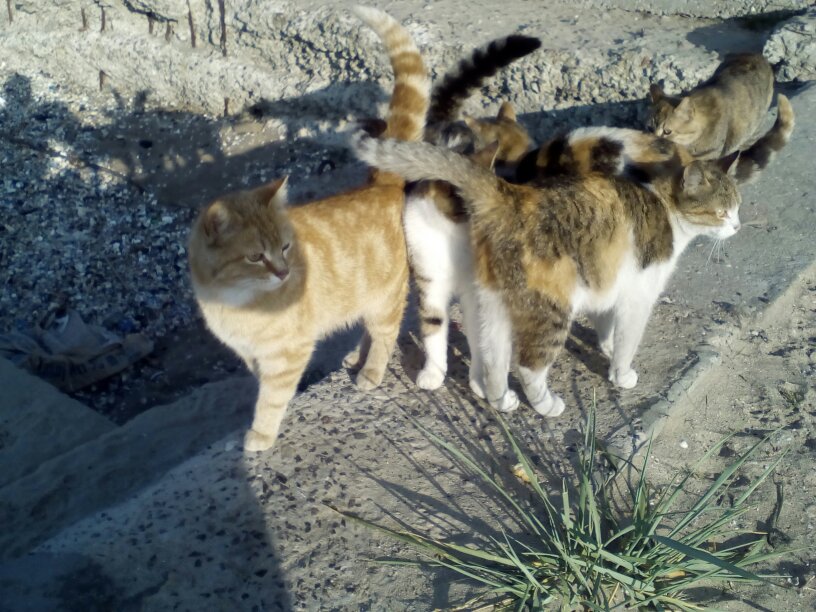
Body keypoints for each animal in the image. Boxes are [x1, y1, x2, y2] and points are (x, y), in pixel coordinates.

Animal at [187, 6, 430, 452]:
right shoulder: (250, 354)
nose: (284, 273)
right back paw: (355, 357)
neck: (231, 300)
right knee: (369, 331)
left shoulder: (288, 353)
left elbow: (271, 397)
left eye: (285, 248)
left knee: (385, 334)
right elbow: (261, 382)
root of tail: (379, 184)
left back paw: (370, 372)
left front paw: (260, 435)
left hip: (384, 298)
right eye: (256, 256)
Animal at [353, 133, 750, 417]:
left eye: (737, 207)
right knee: (528, 365)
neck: (663, 205)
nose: (737, 227)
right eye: (721, 212)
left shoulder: (609, 283)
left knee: (493, 360)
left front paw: (605, 345)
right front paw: (621, 374)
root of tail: (509, 196)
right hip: (551, 308)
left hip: (493, 304)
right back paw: (546, 406)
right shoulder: (638, 295)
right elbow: (628, 340)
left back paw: (499, 399)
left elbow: (606, 323)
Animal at [404, 35, 540, 392]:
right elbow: (433, 328)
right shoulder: (429, 277)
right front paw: (433, 373)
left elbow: (482, 335)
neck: (453, 234)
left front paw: (481, 379)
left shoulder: (479, 289)